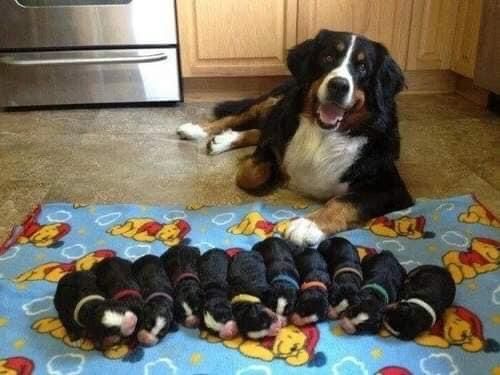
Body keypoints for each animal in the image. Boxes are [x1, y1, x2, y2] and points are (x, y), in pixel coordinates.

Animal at [178, 29, 412, 247]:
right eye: (328, 57)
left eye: (363, 67)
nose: (339, 85)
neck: (324, 134)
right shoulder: (276, 137)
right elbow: (251, 173)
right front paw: (272, 173)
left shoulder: (391, 187)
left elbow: (345, 202)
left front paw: (308, 225)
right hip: (279, 98)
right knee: (245, 115)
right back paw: (198, 130)